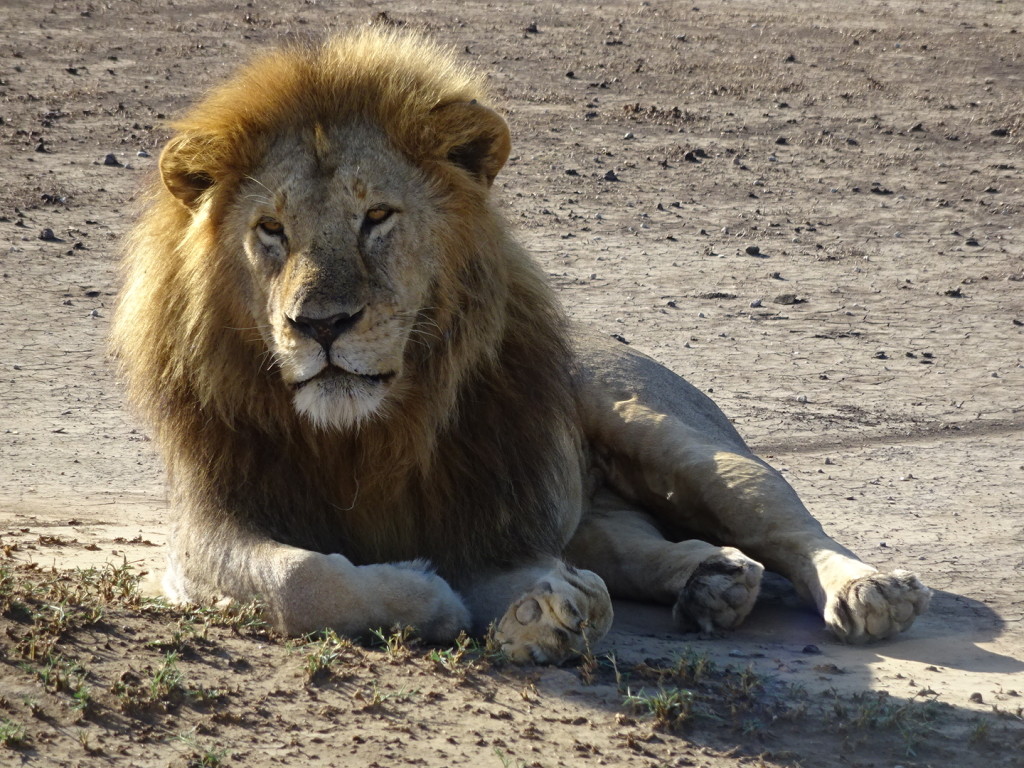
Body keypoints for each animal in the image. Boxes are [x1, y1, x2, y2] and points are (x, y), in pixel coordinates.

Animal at [110, 30, 929, 663]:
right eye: (271, 230)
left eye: (376, 216)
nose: (321, 325)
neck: (365, 431)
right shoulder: (209, 522)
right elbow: (299, 580)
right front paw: (430, 597)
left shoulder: (491, 498)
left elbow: (498, 567)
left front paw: (537, 609)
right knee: (629, 543)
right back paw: (711, 579)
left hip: (676, 436)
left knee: (782, 520)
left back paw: (868, 590)